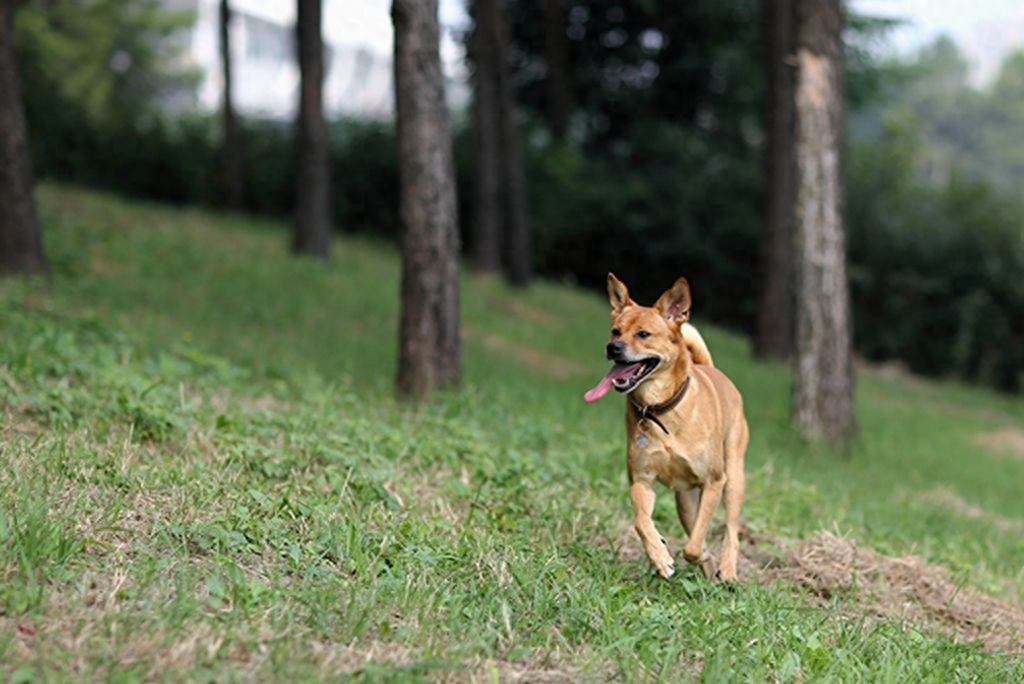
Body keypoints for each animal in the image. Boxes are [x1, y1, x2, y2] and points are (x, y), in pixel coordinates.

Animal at [585, 274, 753, 581]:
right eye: (615, 331)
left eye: (643, 334)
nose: (612, 348)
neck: (660, 410)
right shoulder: (641, 480)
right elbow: (642, 521)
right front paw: (660, 557)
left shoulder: (714, 482)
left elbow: (694, 545)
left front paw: (694, 554)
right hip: (685, 501)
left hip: (733, 479)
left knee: (731, 530)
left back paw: (728, 570)